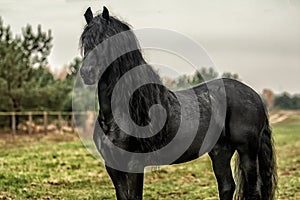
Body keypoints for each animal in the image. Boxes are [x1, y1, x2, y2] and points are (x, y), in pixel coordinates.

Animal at [79, 6, 276, 200]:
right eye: (85, 42)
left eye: (106, 40)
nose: (87, 72)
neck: (116, 116)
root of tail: (254, 95)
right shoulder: (113, 166)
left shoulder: (135, 164)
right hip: (220, 151)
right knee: (227, 186)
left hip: (247, 151)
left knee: (253, 191)